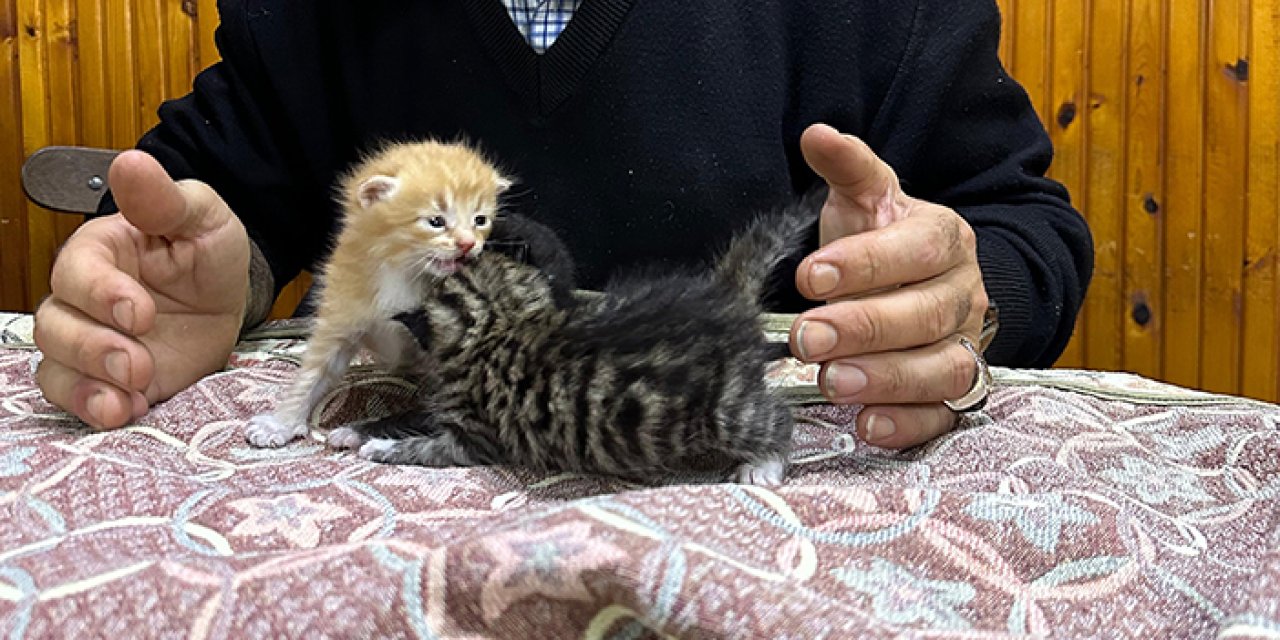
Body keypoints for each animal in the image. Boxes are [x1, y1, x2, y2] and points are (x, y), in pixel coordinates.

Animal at [325, 190, 814, 483]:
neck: (499, 323)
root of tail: (726, 297)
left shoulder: (471, 438)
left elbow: (425, 449)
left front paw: (380, 449)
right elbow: (407, 414)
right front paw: (354, 431)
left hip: (724, 409)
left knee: (777, 418)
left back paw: (764, 464)